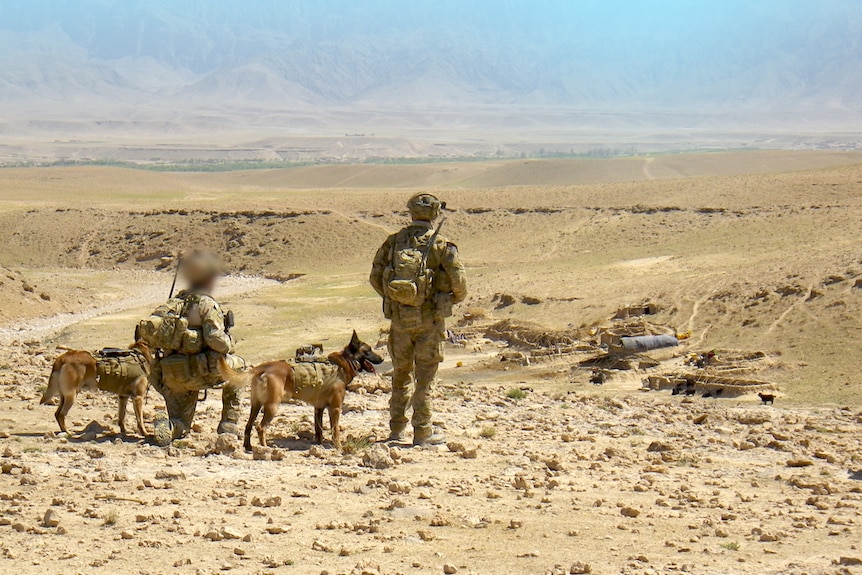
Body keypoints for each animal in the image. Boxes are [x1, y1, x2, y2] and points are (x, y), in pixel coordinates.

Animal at [219, 330, 384, 452]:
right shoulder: (335, 409)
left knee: (248, 426)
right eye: (368, 350)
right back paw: (265, 448)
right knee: (260, 427)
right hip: (272, 406)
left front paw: (318, 445)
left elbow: (319, 430)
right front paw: (338, 447)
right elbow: (335, 430)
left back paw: (248, 447)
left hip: (256, 405)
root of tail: (264, 366)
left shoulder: (318, 408)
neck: (343, 363)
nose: (382, 359)